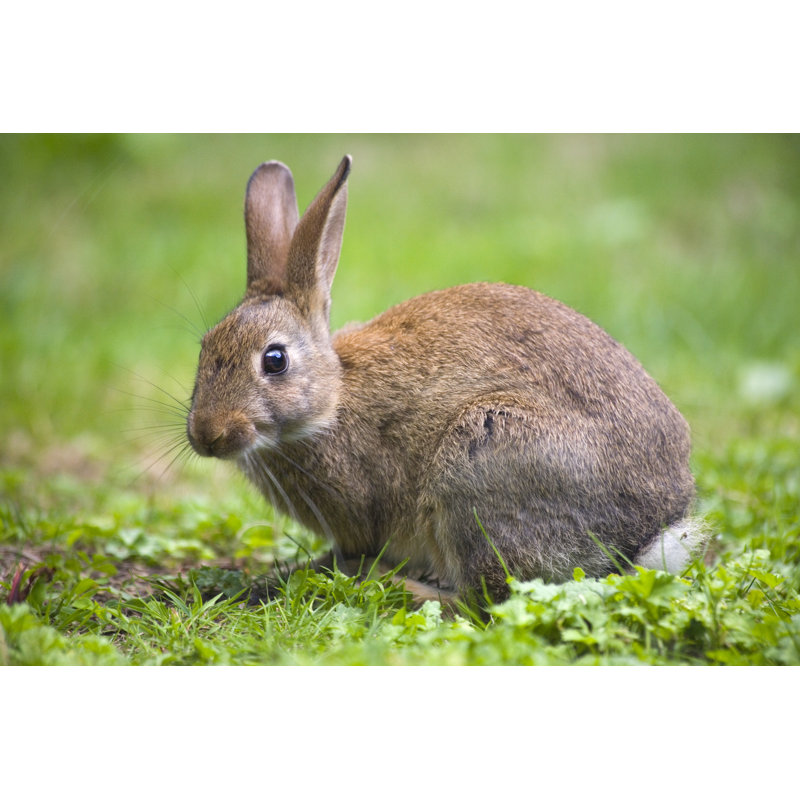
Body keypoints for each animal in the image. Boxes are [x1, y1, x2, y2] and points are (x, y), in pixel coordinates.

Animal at [186, 155, 705, 605]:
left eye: (274, 360)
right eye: (204, 349)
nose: (207, 436)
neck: (332, 398)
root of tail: (646, 533)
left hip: (481, 458)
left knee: (483, 599)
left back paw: (395, 585)